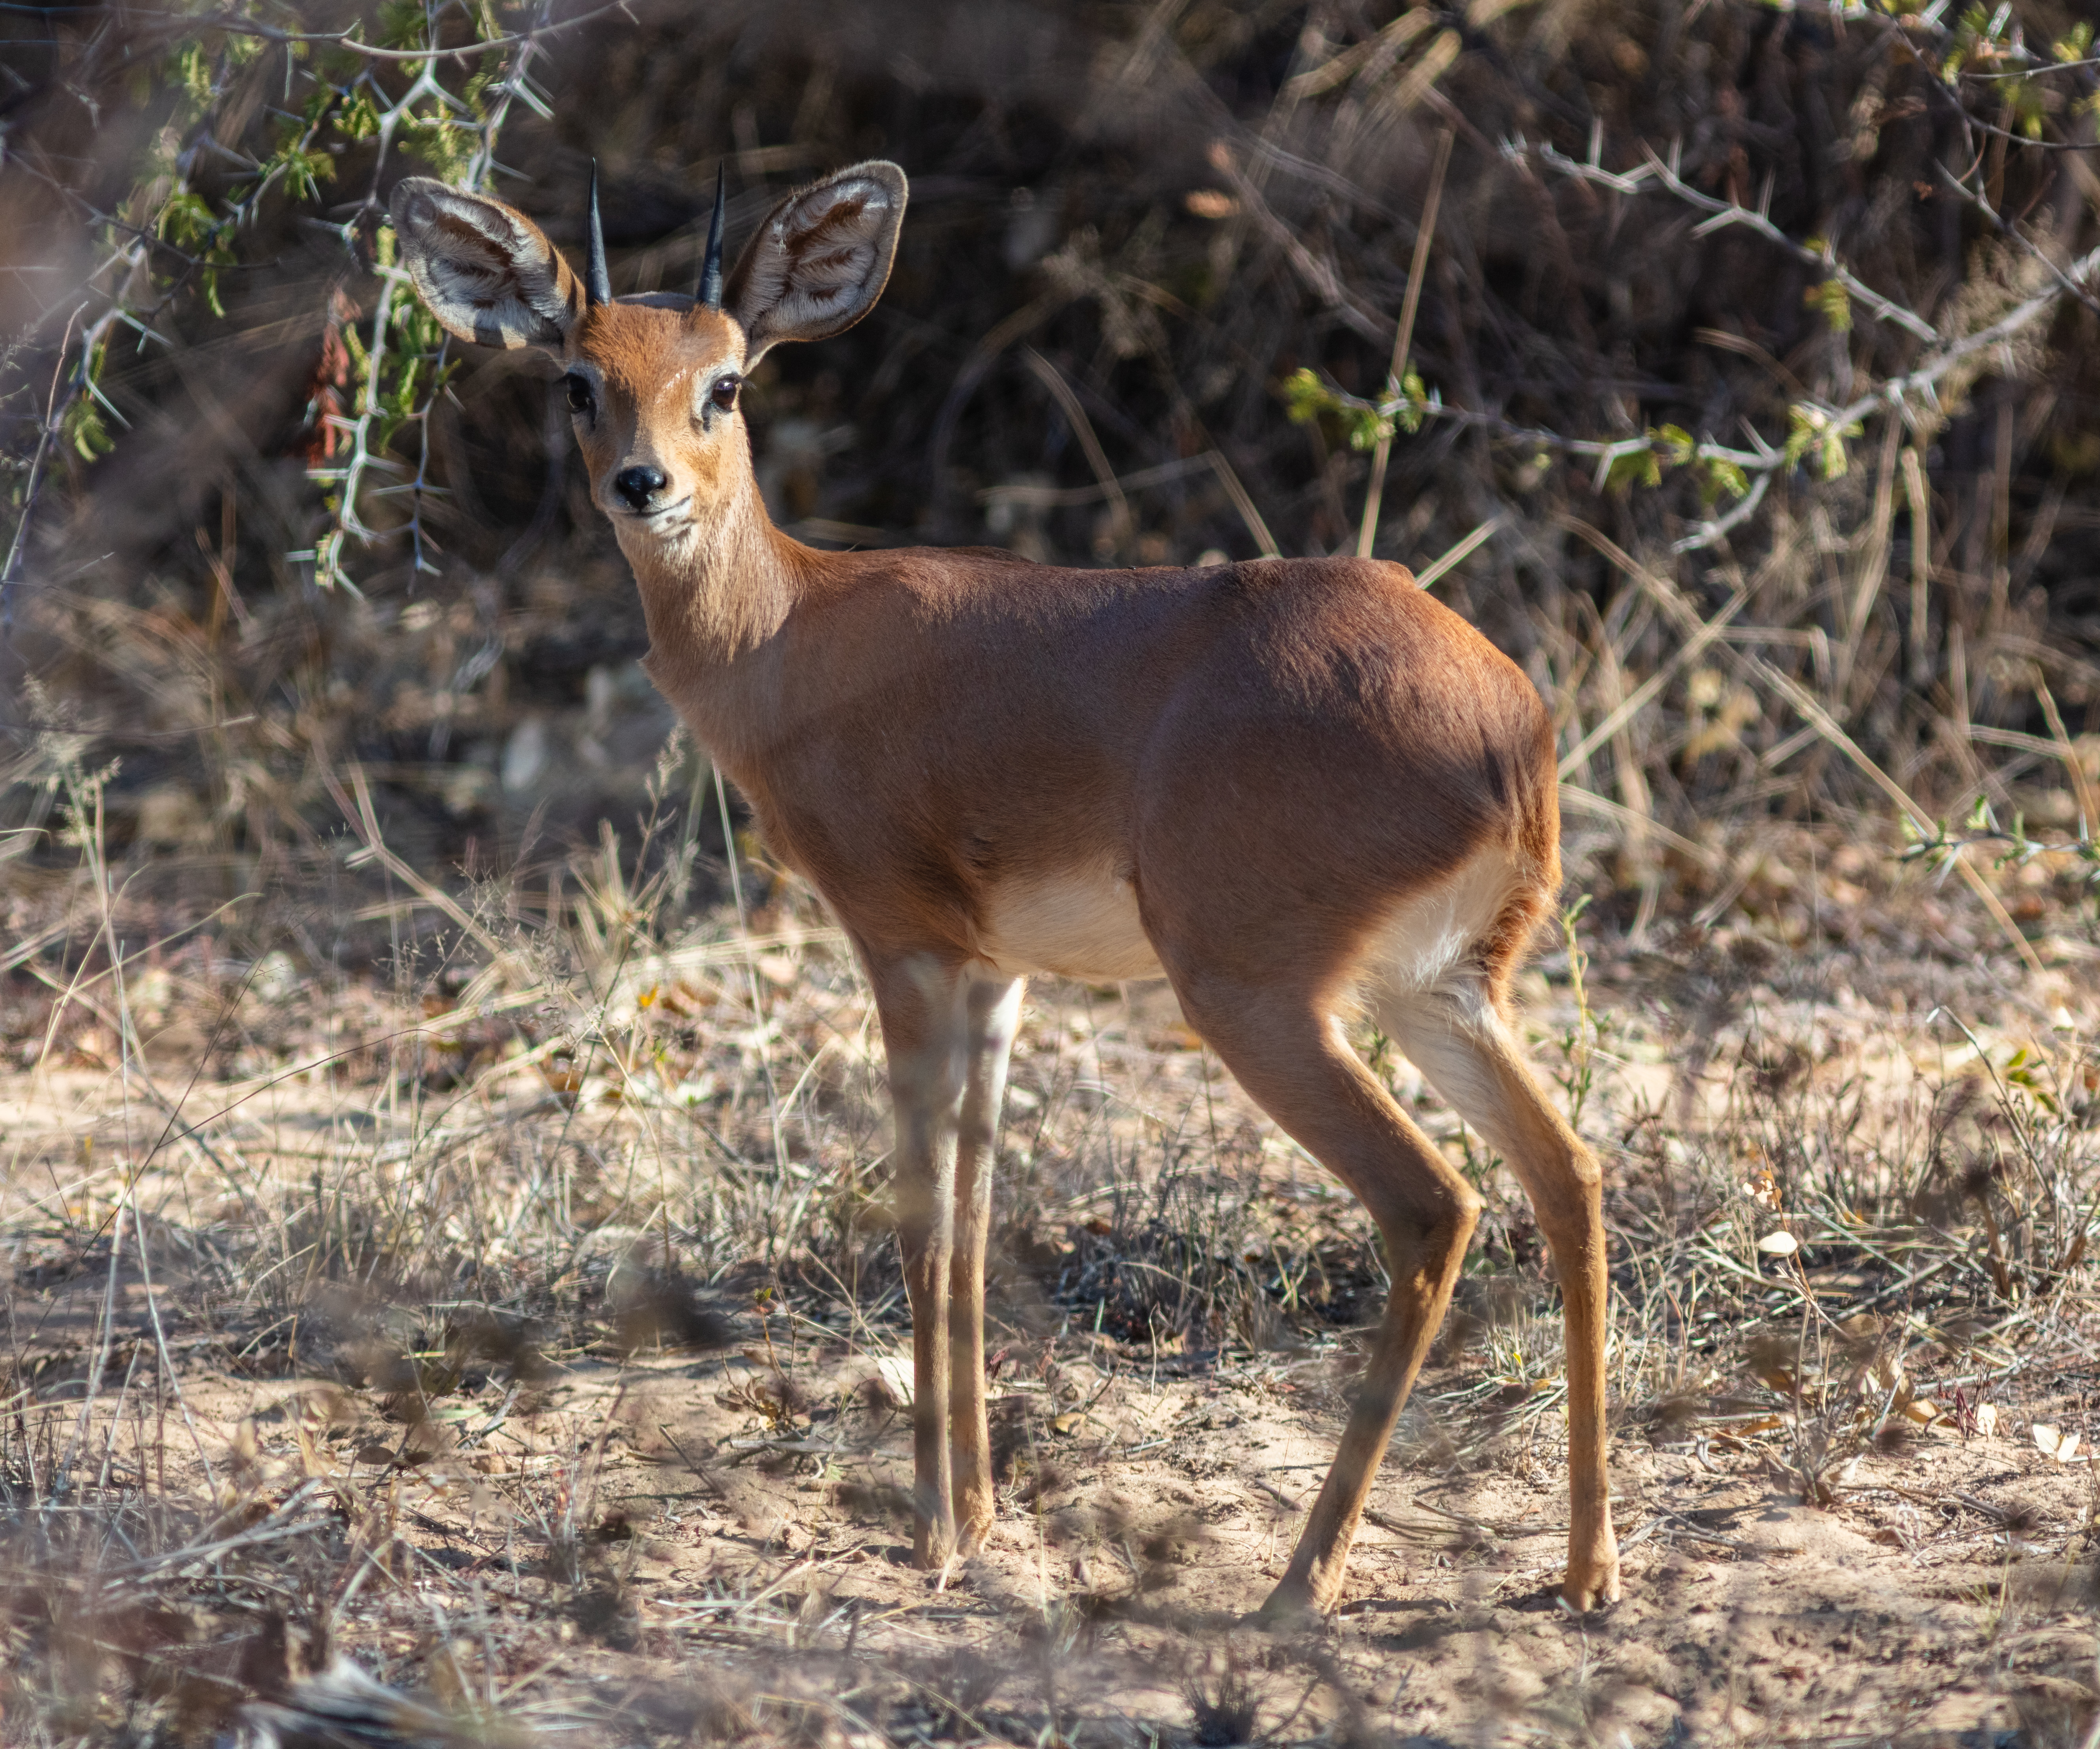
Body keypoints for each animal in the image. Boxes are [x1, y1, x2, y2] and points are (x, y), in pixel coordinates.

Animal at [386, 157, 1613, 1621]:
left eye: (725, 380)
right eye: (579, 377)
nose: (642, 484)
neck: (789, 636)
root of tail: (1511, 729)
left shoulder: (903, 950)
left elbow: (921, 1226)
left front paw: (929, 1531)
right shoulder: (998, 976)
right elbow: (976, 1226)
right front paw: (973, 1512)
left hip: (1255, 998)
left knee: (1433, 1205)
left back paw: (1297, 1584)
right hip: (1434, 990)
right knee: (1568, 1172)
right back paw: (1585, 1569)